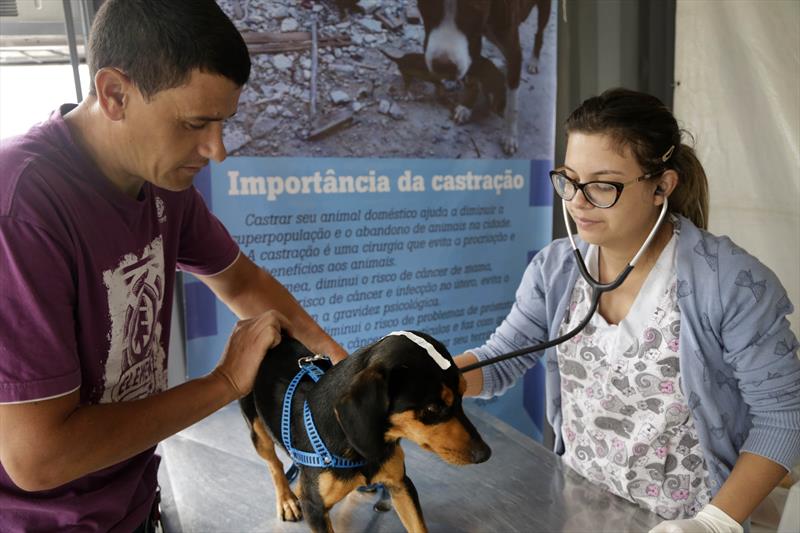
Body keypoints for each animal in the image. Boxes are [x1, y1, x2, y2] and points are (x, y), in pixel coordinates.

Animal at [239, 330, 488, 528]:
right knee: (274, 464)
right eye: (432, 408)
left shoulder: (401, 485)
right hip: (258, 431)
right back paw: (287, 499)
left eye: (464, 393)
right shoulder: (316, 511)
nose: (485, 454)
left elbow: (418, 526)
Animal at [418, 0, 552, 154]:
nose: (443, 67)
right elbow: (471, 77)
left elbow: (512, 105)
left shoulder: (514, 55)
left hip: (545, 9)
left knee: (540, 32)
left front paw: (510, 136)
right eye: (429, 4)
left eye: (473, 7)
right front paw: (466, 107)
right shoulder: (472, 42)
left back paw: (534, 61)